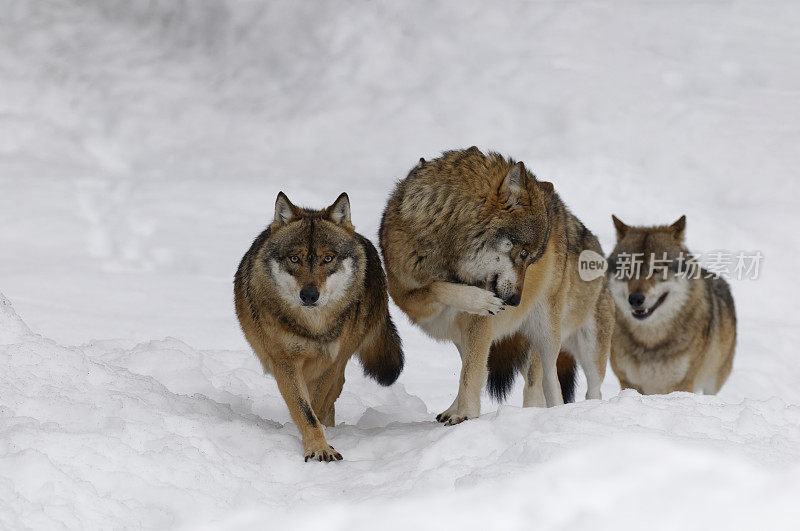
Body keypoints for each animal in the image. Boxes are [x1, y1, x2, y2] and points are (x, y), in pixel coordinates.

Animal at [234, 192, 404, 462]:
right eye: (295, 258)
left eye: (328, 258)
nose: (309, 295)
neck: (313, 327)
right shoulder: (285, 363)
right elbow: (305, 410)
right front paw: (319, 448)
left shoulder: (329, 365)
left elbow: (315, 407)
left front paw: (321, 442)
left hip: (341, 364)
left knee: (330, 400)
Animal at [382, 147, 612, 424]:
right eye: (523, 253)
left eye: (532, 258)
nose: (515, 301)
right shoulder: (405, 296)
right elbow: (437, 291)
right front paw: (478, 299)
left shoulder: (479, 324)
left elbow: (471, 374)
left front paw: (467, 415)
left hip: (556, 334)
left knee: (564, 383)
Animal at [608, 216, 736, 394]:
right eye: (628, 269)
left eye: (656, 269)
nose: (635, 299)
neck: (650, 341)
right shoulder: (628, 383)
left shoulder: (681, 385)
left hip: (714, 380)